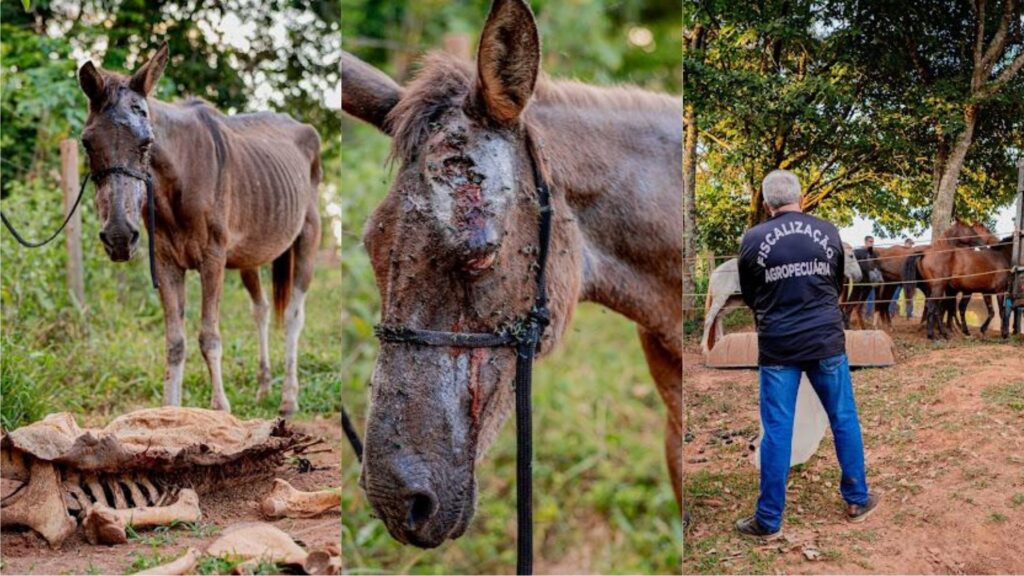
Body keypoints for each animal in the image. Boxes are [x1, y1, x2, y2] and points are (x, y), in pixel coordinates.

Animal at [78, 43, 319, 412]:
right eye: (87, 143)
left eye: (146, 142)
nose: (118, 237)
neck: (180, 180)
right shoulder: (166, 263)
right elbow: (175, 342)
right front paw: (170, 412)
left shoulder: (212, 258)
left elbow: (209, 336)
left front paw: (220, 409)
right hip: (249, 255)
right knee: (261, 309)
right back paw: (264, 388)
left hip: (307, 236)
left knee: (294, 315)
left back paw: (289, 399)